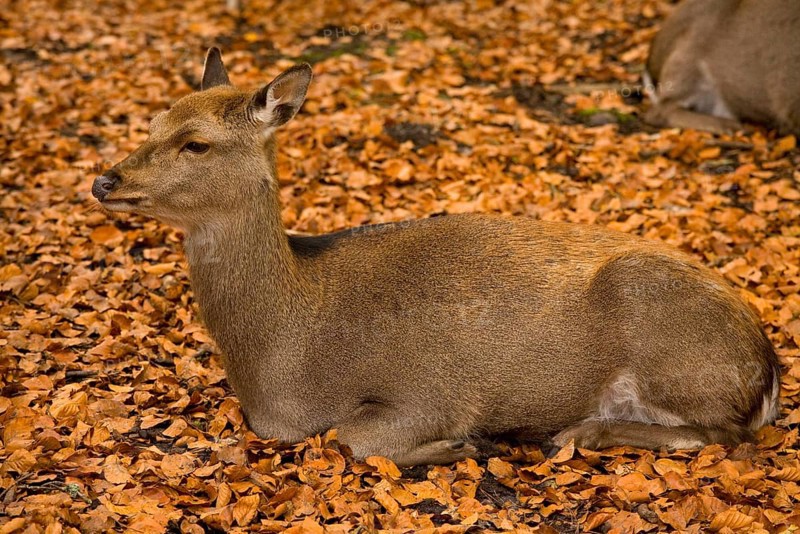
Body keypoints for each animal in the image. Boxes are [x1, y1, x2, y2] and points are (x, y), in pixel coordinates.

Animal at [91, 48, 781, 466]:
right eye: (152, 122)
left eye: (197, 143)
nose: (104, 180)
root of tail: (767, 366)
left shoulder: (430, 390)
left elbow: (354, 437)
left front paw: (460, 446)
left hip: (676, 350)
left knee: (726, 434)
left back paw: (578, 431)